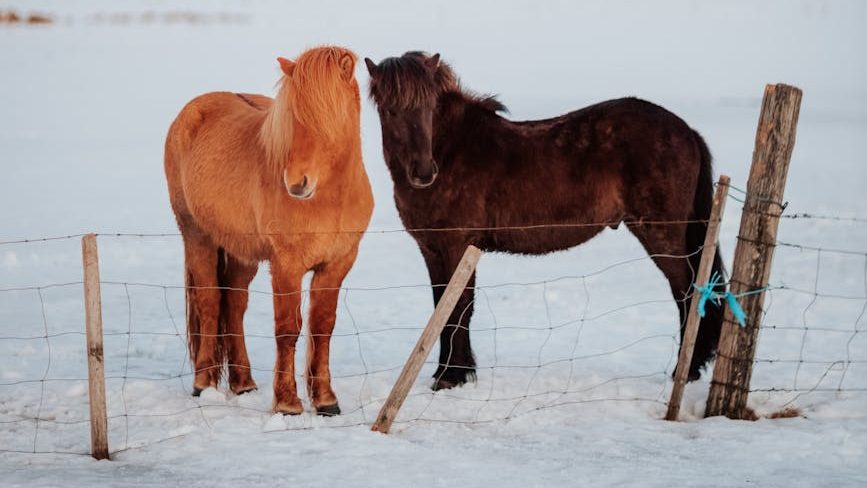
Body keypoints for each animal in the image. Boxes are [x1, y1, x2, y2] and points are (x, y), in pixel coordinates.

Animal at [164, 46, 373, 415]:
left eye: (330, 116)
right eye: (293, 117)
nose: (297, 183)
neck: (330, 198)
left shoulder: (337, 263)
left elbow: (323, 327)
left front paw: (326, 401)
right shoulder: (286, 265)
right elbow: (288, 330)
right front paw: (287, 403)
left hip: (241, 253)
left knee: (234, 304)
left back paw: (243, 383)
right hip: (197, 236)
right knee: (209, 301)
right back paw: (203, 384)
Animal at [365, 51, 725, 390]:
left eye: (429, 106)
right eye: (390, 110)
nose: (424, 172)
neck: (453, 150)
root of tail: (686, 130)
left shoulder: (457, 246)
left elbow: (458, 309)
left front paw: (452, 377)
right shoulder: (431, 249)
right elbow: (443, 306)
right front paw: (450, 372)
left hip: (661, 234)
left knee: (688, 293)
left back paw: (686, 371)